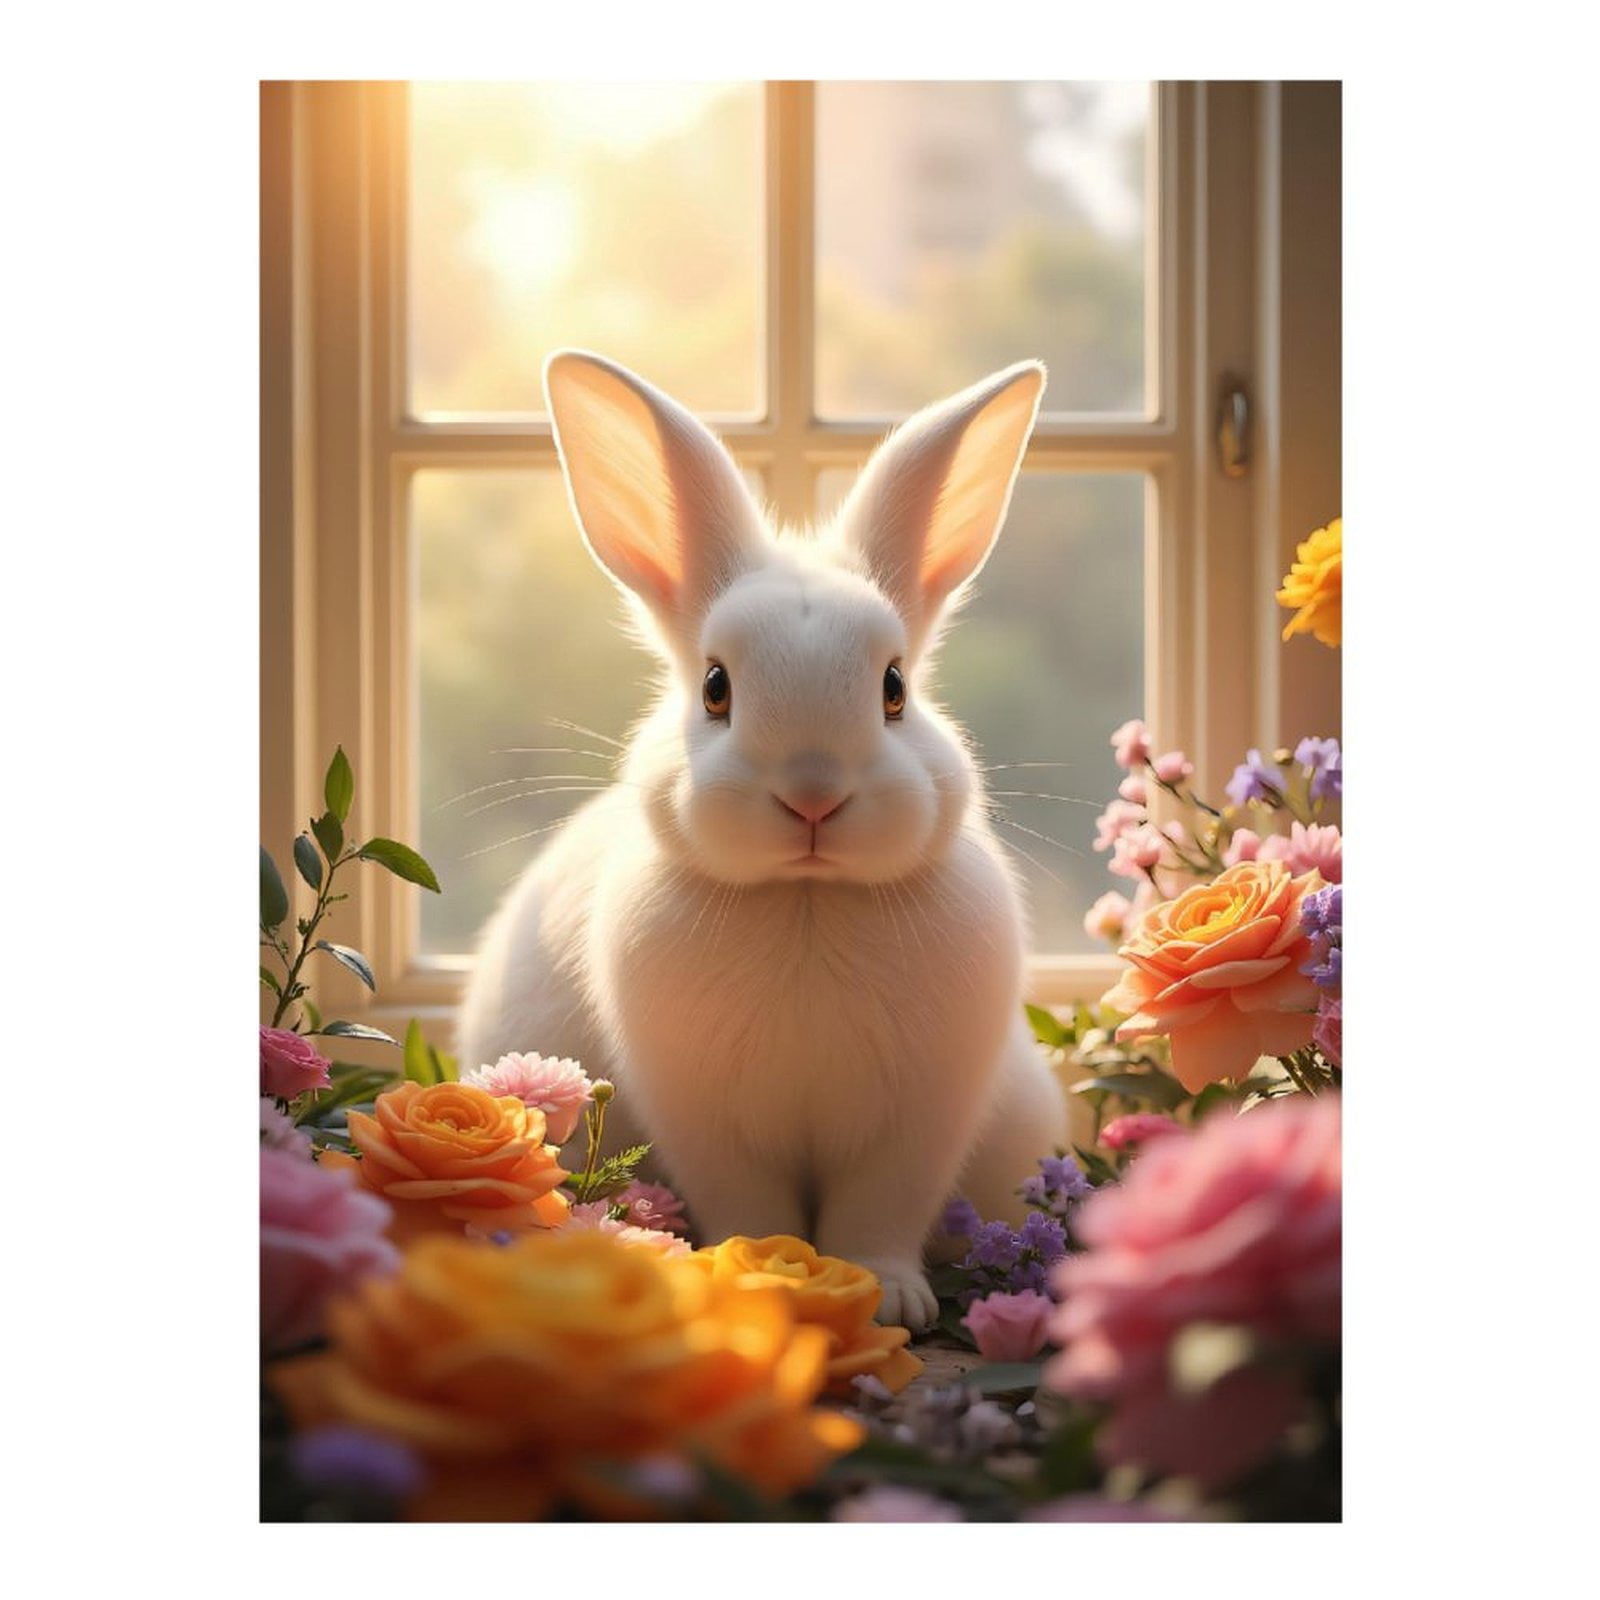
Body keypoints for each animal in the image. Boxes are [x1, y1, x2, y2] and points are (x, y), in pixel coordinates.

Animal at [456, 349, 1069, 1330]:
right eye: (716, 687)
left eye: (895, 689)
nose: (812, 794)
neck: (805, 897)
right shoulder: (708, 1122)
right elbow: (753, 1204)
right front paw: (763, 1274)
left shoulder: (916, 1124)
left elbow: (878, 1215)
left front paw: (892, 1303)